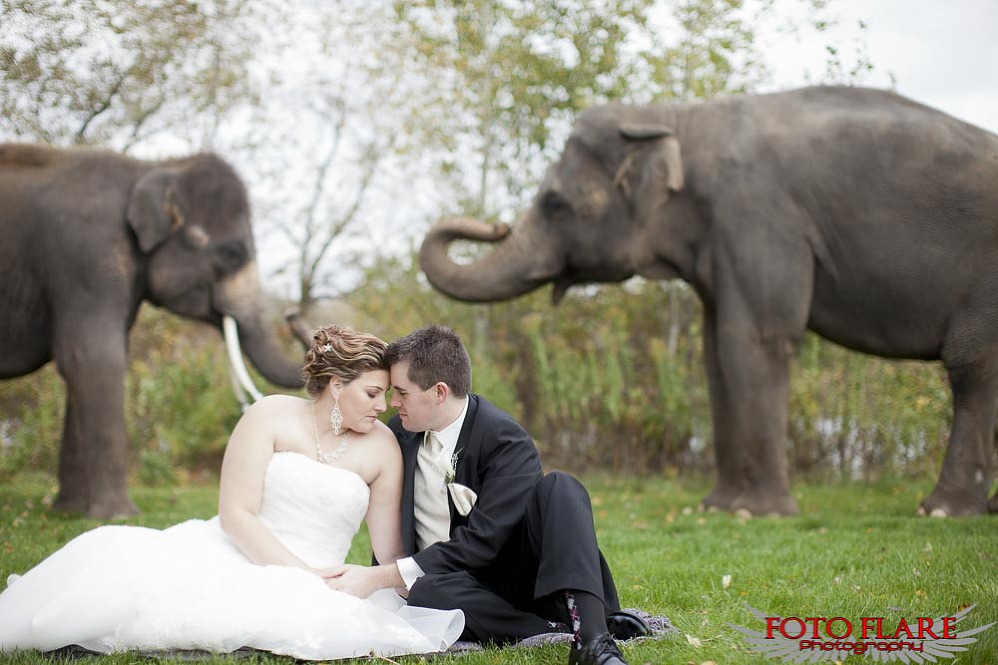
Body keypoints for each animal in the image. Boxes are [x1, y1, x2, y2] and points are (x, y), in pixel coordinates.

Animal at [0, 144, 304, 520]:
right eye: (233, 253)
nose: (292, 313)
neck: (151, 167)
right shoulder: (86, 259)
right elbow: (96, 359)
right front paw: (118, 517)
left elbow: (79, 365)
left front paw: (70, 512)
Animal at [418, 84, 998, 520]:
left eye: (556, 203)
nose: (493, 225)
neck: (675, 117)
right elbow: (715, 354)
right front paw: (717, 507)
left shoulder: (756, 215)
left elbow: (756, 339)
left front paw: (755, 514)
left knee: (973, 364)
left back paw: (941, 511)